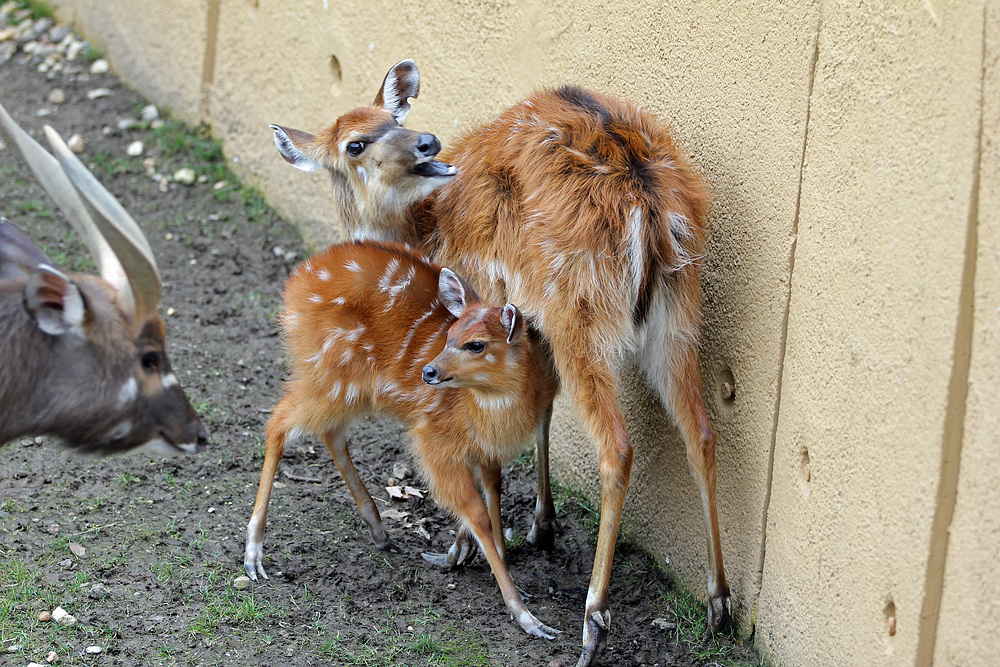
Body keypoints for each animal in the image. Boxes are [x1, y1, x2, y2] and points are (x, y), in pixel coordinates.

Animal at [239, 240, 560, 636]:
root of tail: (297, 281)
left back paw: (380, 532)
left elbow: (495, 501)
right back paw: (253, 553)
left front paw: (513, 584)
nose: (429, 371)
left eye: (476, 344)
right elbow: (478, 516)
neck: (491, 409)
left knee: (328, 431)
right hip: (331, 371)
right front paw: (527, 617)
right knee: (280, 420)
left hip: (345, 386)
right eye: (449, 336)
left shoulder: (487, 452)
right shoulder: (435, 442)